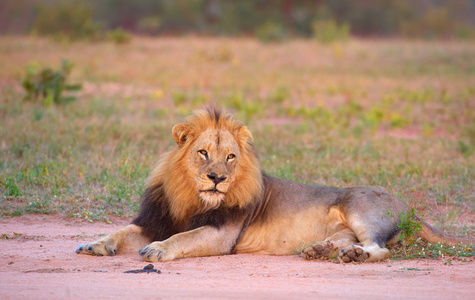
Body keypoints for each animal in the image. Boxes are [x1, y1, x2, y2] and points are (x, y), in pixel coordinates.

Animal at [76, 105, 474, 262]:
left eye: (230, 157)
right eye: (203, 153)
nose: (217, 178)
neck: (191, 197)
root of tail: (410, 207)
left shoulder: (221, 234)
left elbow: (183, 238)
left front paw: (157, 250)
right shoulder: (155, 220)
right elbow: (121, 232)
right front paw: (94, 244)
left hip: (361, 210)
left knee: (379, 248)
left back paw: (354, 256)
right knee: (346, 241)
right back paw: (322, 251)